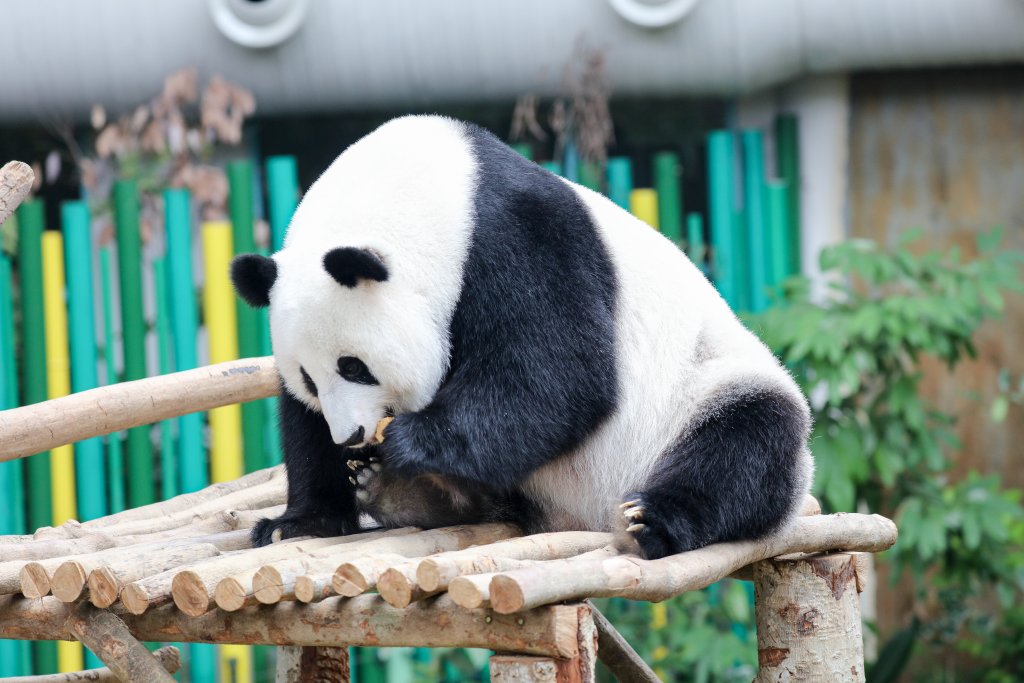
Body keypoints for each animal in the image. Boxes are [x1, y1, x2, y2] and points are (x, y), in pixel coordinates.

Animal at [230, 115, 813, 560]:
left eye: (355, 366)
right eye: (310, 378)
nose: (350, 435)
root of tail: (577, 518)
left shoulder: (520, 238)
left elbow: (558, 378)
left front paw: (409, 442)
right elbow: (302, 426)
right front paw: (301, 521)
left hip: (701, 390)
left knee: (749, 440)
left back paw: (652, 521)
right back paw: (412, 497)